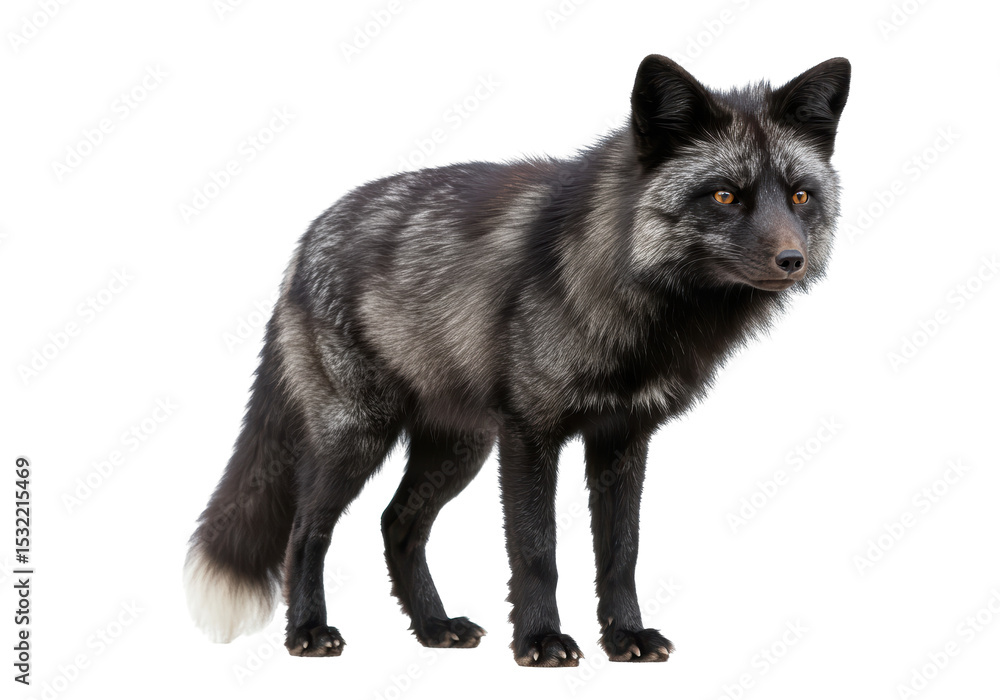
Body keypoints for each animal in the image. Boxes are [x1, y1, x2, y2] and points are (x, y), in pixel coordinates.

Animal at [184, 54, 851, 667]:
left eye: (799, 196)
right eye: (724, 195)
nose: (793, 260)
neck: (628, 288)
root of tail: (307, 238)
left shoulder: (622, 438)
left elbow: (621, 554)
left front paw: (625, 637)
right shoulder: (530, 433)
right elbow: (537, 551)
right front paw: (540, 640)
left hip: (458, 449)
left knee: (397, 525)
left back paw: (434, 628)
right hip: (358, 436)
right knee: (305, 531)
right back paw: (308, 631)